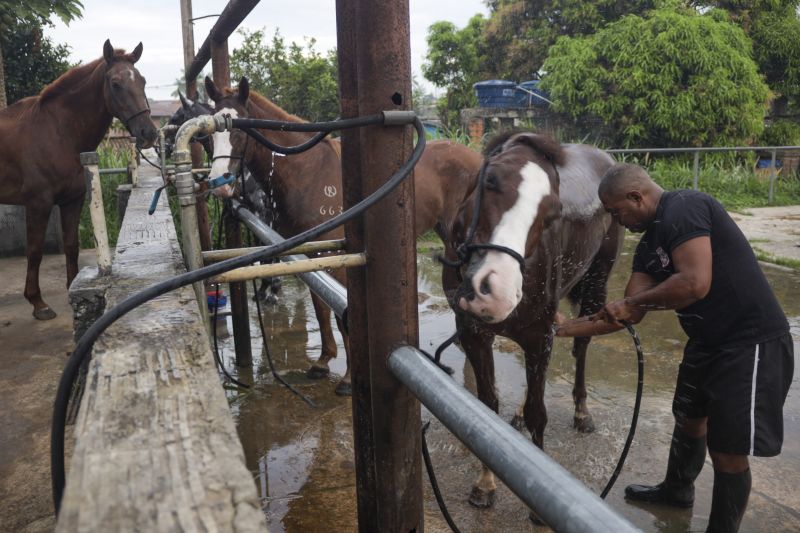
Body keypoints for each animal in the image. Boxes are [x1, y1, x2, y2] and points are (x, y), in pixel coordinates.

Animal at [0, 40, 159, 320]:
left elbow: (72, 245)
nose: (148, 133)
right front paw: (38, 303)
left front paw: (72, 287)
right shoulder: (38, 204)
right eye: (115, 83)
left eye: (142, 81)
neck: (57, 132)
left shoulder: (73, 200)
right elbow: (34, 251)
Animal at [206, 76, 482, 394]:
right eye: (209, 132)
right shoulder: (312, 254)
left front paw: (350, 379)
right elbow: (321, 308)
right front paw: (323, 362)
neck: (308, 172)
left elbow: (343, 316)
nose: (219, 184)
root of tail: (478, 157)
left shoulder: (338, 256)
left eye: (240, 131)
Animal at [444, 130, 624, 512]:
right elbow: (486, 407)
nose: (494, 291)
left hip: (595, 286)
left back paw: (582, 412)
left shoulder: (538, 336)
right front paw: (485, 484)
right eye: (490, 180)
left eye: (553, 213)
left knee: (581, 346)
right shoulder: (474, 334)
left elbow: (539, 413)